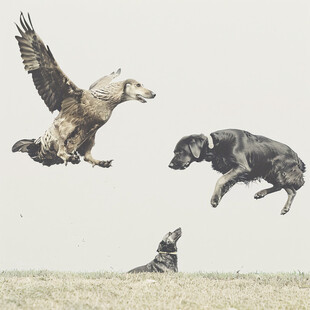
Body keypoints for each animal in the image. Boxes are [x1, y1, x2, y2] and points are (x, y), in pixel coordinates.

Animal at [168, 130, 304, 214]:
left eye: (180, 152)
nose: (170, 165)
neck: (215, 145)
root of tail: (296, 156)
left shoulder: (242, 167)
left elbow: (220, 180)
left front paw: (214, 199)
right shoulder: (234, 172)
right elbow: (225, 183)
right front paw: (218, 197)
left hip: (276, 170)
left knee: (286, 188)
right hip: (270, 172)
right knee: (289, 190)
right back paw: (274, 202)